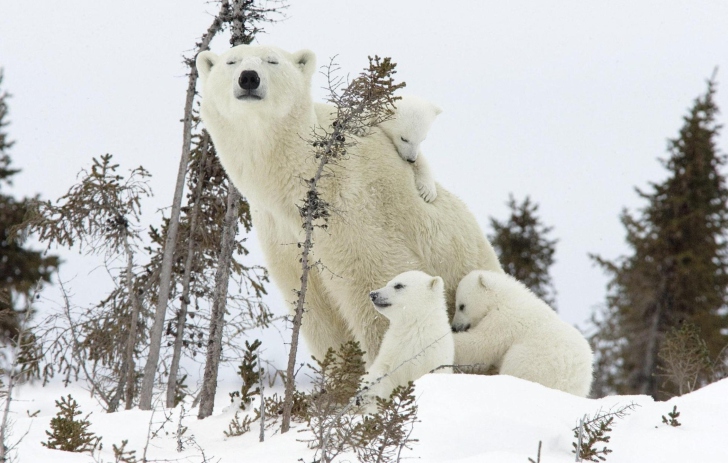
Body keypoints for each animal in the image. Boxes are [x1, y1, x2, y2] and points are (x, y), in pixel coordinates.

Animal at [193, 45, 504, 364]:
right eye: (231, 62)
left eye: (272, 60)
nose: (249, 78)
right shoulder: (280, 232)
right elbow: (318, 314)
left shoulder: (354, 210)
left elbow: (377, 288)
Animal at [366, 270, 452, 408]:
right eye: (388, 282)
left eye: (398, 285)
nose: (373, 294)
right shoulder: (392, 349)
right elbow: (382, 371)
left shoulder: (434, 355)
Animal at [456, 270, 592, 396]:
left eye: (461, 306)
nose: (455, 326)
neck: (506, 297)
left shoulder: (505, 319)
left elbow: (482, 344)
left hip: (533, 362)